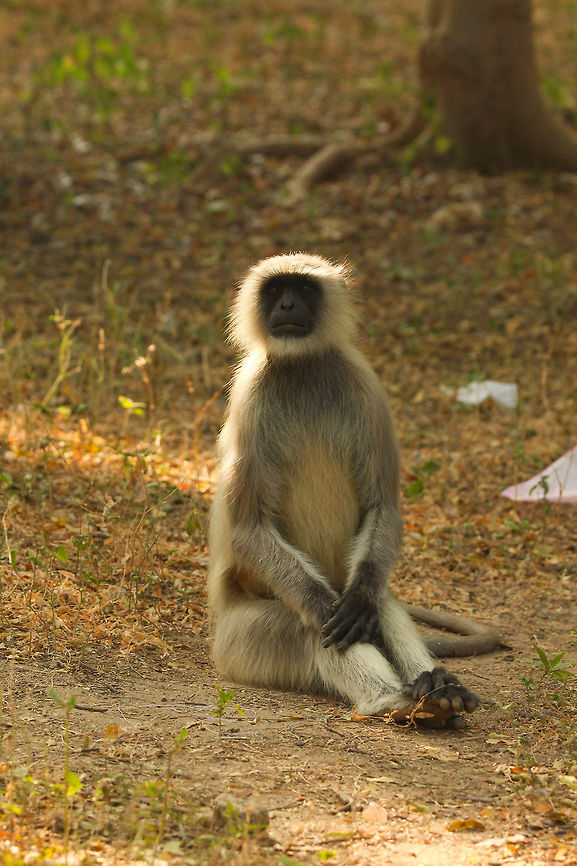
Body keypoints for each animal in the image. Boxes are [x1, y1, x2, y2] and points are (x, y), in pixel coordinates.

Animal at [208, 253, 484, 728]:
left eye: (303, 290)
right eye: (275, 290)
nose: (286, 306)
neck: (303, 368)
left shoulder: (364, 385)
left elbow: (381, 508)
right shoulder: (250, 397)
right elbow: (248, 528)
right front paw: (323, 608)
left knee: (377, 601)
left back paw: (436, 688)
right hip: (240, 641)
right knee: (308, 629)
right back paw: (392, 701)